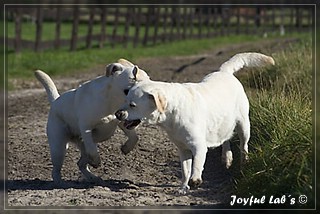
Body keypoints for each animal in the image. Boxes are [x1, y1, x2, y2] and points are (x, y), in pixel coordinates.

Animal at [115, 52, 276, 193]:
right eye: (125, 99)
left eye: (133, 105)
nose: (117, 114)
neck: (173, 113)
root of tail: (224, 72)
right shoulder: (183, 149)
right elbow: (185, 170)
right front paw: (183, 187)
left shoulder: (198, 146)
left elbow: (197, 165)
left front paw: (195, 180)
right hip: (223, 124)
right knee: (225, 139)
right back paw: (227, 158)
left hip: (243, 124)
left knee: (243, 146)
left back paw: (243, 163)